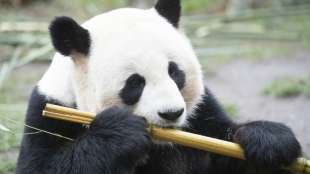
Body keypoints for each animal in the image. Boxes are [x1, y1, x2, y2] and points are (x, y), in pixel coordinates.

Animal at [16, 0, 300, 174]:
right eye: (135, 83)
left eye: (174, 72)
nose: (171, 114)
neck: (161, 144)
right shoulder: (49, 109)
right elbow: (42, 167)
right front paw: (120, 132)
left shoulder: (201, 114)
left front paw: (269, 141)